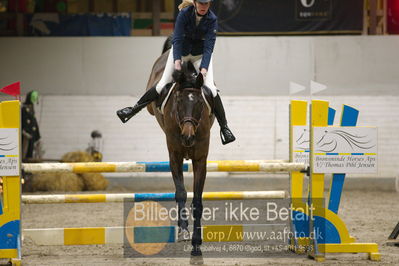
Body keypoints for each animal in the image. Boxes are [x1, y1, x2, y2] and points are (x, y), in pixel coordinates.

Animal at [146, 47, 216, 258]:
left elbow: (198, 201)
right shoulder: (174, 156)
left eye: (200, 102)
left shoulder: (200, 159)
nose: (187, 137)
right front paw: (184, 229)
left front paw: (197, 243)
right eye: (178, 101)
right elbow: (181, 193)